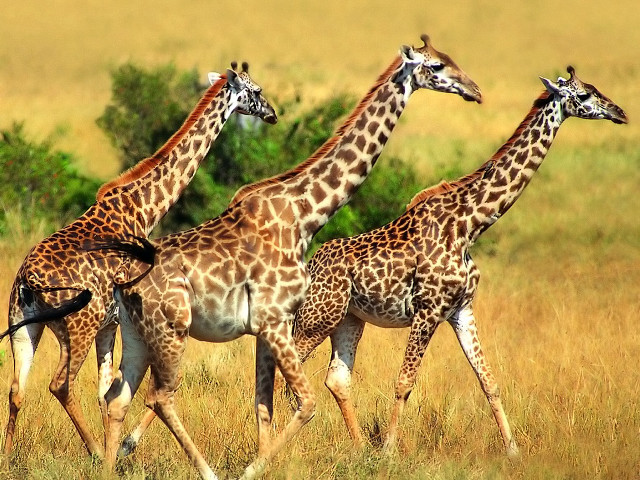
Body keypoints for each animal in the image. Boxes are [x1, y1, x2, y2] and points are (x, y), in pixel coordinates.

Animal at [1, 63, 277, 458]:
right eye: (255, 91)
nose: (271, 114)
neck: (144, 208)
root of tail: (29, 281)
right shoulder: (124, 320)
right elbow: (136, 388)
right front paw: (119, 448)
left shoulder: (109, 325)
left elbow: (105, 391)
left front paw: (116, 445)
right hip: (76, 327)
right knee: (59, 384)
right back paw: (94, 450)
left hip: (23, 326)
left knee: (16, 389)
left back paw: (9, 458)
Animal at [98, 35, 482, 480]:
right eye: (436, 66)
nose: (474, 90)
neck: (305, 215)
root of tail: (123, 284)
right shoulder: (275, 320)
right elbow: (306, 402)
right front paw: (252, 470)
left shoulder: (266, 327)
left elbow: (263, 404)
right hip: (171, 330)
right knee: (160, 397)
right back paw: (206, 471)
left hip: (135, 333)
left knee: (118, 397)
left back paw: (107, 467)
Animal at [291, 66, 627, 456]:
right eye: (583, 95)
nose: (620, 112)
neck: (469, 225)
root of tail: (311, 265)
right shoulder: (427, 310)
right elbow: (404, 381)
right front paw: (388, 451)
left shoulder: (461, 309)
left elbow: (489, 380)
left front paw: (512, 450)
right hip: (318, 318)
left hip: (348, 319)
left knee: (336, 378)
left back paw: (358, 448)